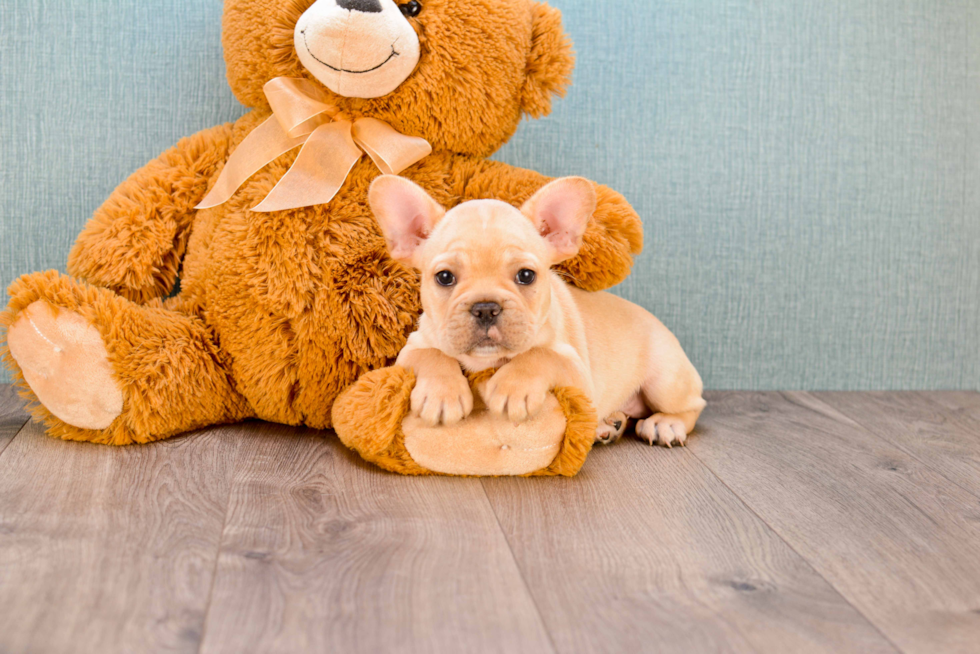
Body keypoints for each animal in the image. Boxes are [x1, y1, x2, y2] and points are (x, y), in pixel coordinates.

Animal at [368, 177, 704, 448]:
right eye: (444, 277)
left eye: (526, 276)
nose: (486, 308)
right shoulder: (411, 349)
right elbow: (433, 355)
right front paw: (442, 393)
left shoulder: (577, 371)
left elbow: (540, 355)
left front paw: (512, 388)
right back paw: (609, 424)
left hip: (665, 379)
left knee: (693, 406)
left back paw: (664, 424)